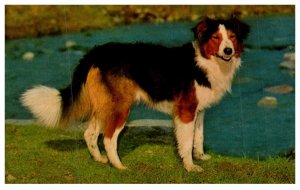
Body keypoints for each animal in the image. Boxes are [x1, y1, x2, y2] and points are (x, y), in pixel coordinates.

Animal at [21, 16, 250, 172]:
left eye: (232, 37)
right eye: (216, 38)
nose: (228, 51)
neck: (204, 61)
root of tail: (96, 52)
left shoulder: (198, 111)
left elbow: (198, 137)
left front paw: (200, 156)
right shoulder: (186, 111)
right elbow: (186, 142)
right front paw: (190, 166)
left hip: (105, 105)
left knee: (90, 134)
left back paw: (100, 160)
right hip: (120, 107)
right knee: (109, 138)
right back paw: (118, 166)